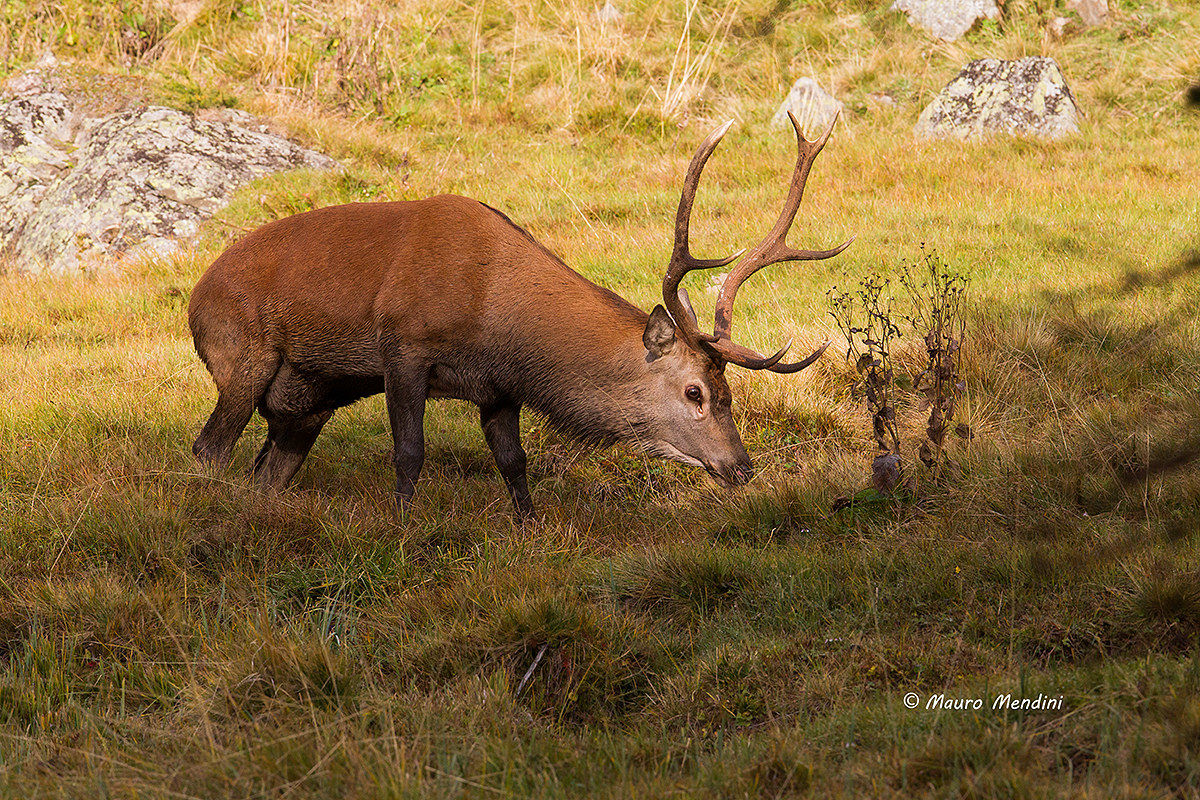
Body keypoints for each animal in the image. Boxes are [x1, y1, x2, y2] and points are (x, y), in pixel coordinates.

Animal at [188, 112, 851, 518]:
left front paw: (531, 530)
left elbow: (514, 464)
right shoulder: (404, 348)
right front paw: (402, 526)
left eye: (728, 391)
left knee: (267, 468)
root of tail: (195, 297)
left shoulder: (498, 387)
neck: (494, 317)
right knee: (209, 449)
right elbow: (409, 453)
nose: (741, 467)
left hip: (306, 401)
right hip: (241, 355)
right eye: (695, 392)